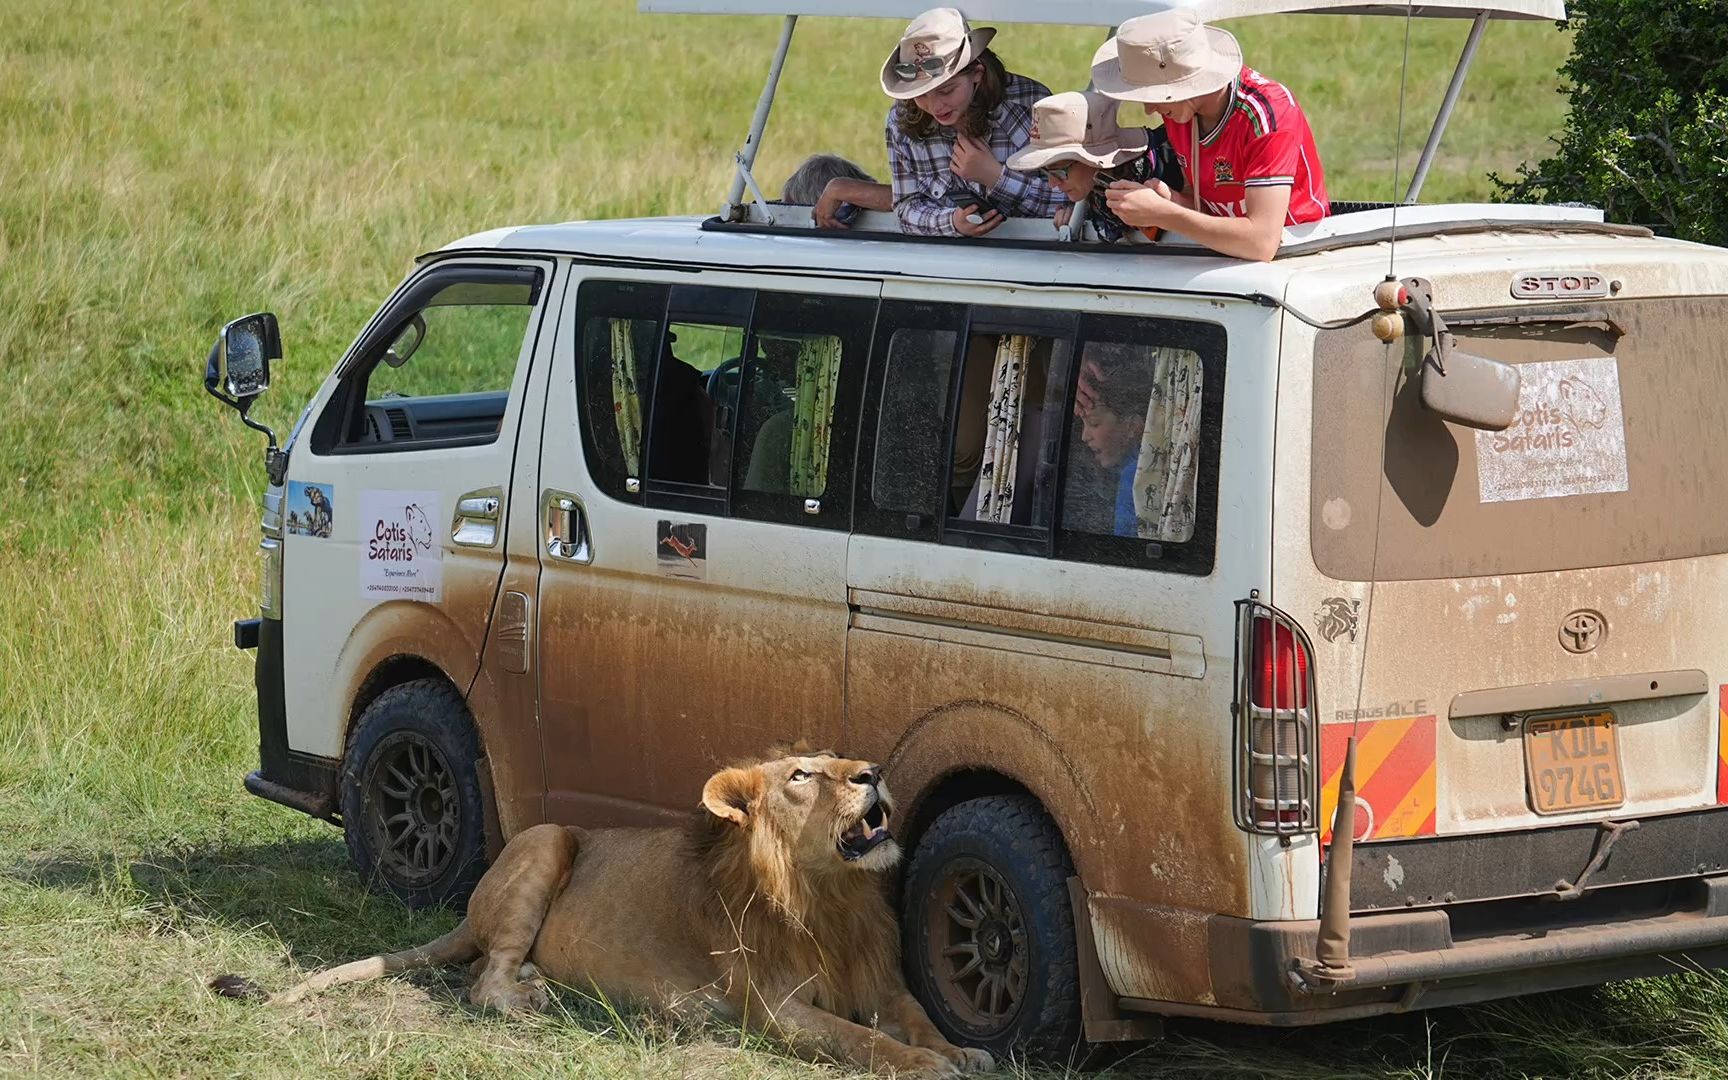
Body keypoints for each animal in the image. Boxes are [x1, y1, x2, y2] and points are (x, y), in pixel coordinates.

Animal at [233, 753, 988, 1071]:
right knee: (482, 981)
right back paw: (531, 1000)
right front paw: (924, 1066)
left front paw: (962, 1052)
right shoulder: (774, 1007)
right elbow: (858, 1040)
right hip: (544, 840)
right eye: (803, 774)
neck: (830, 896)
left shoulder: (882, 983)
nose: (874, 772)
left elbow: (917, 1019)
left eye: (843, 755)